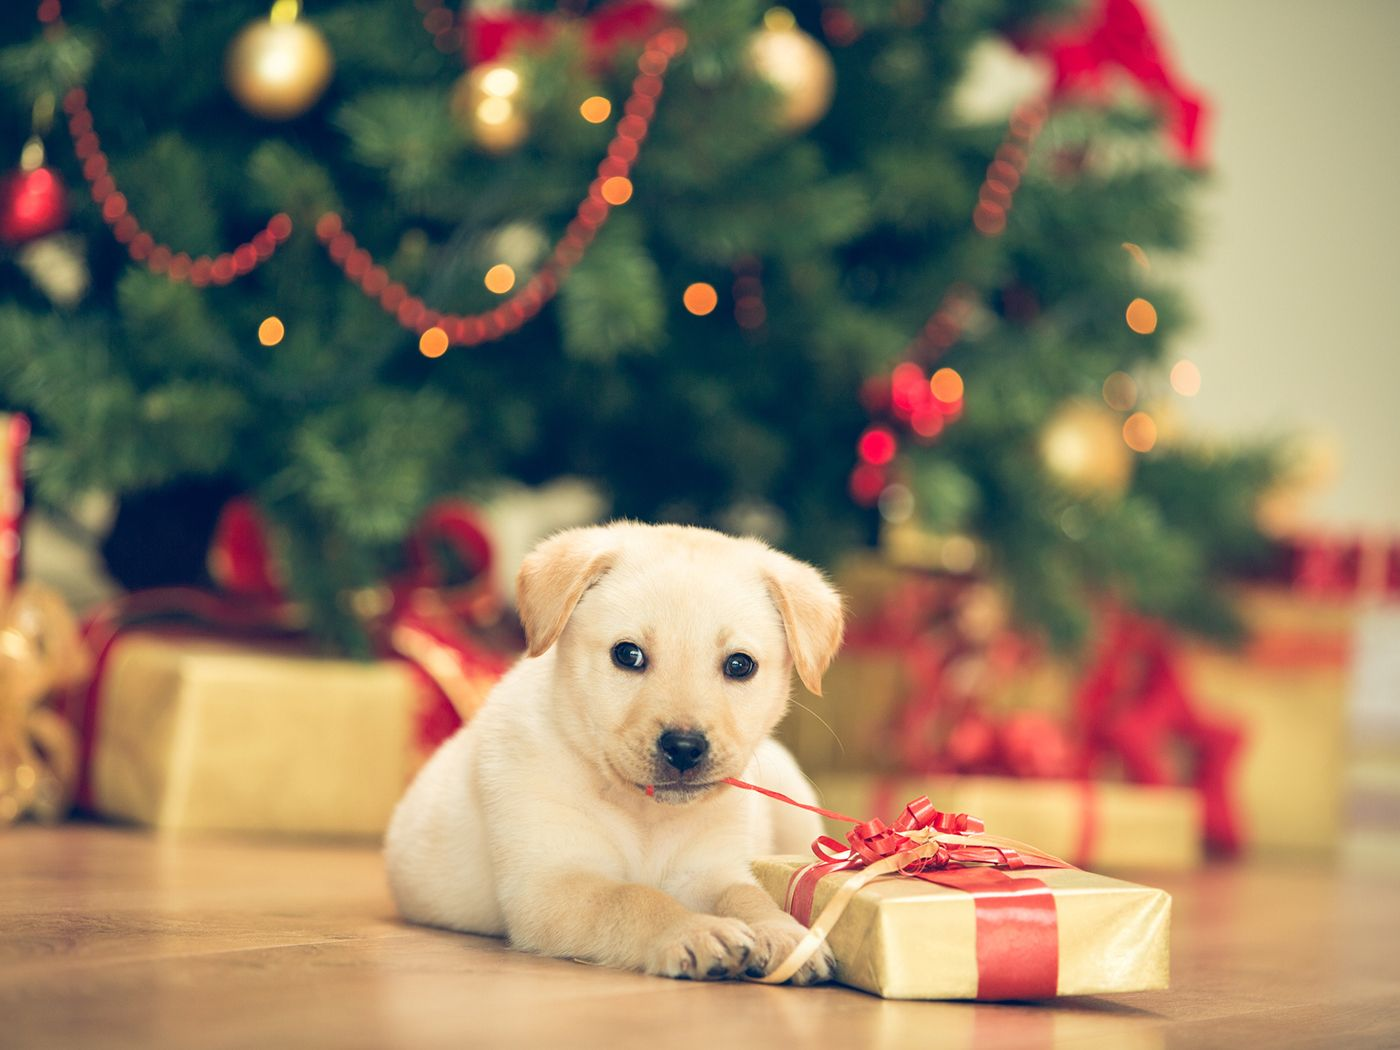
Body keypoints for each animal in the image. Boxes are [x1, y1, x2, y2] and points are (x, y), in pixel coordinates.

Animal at [383, 526, 840, 985]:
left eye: (740, 665)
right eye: (628, 654)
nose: (684, 748)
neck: (645, 814)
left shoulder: (708, 870)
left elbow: (747, 894)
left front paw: (786, 934)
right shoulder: (553, 883)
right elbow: (633, 898)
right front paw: (692, 930)